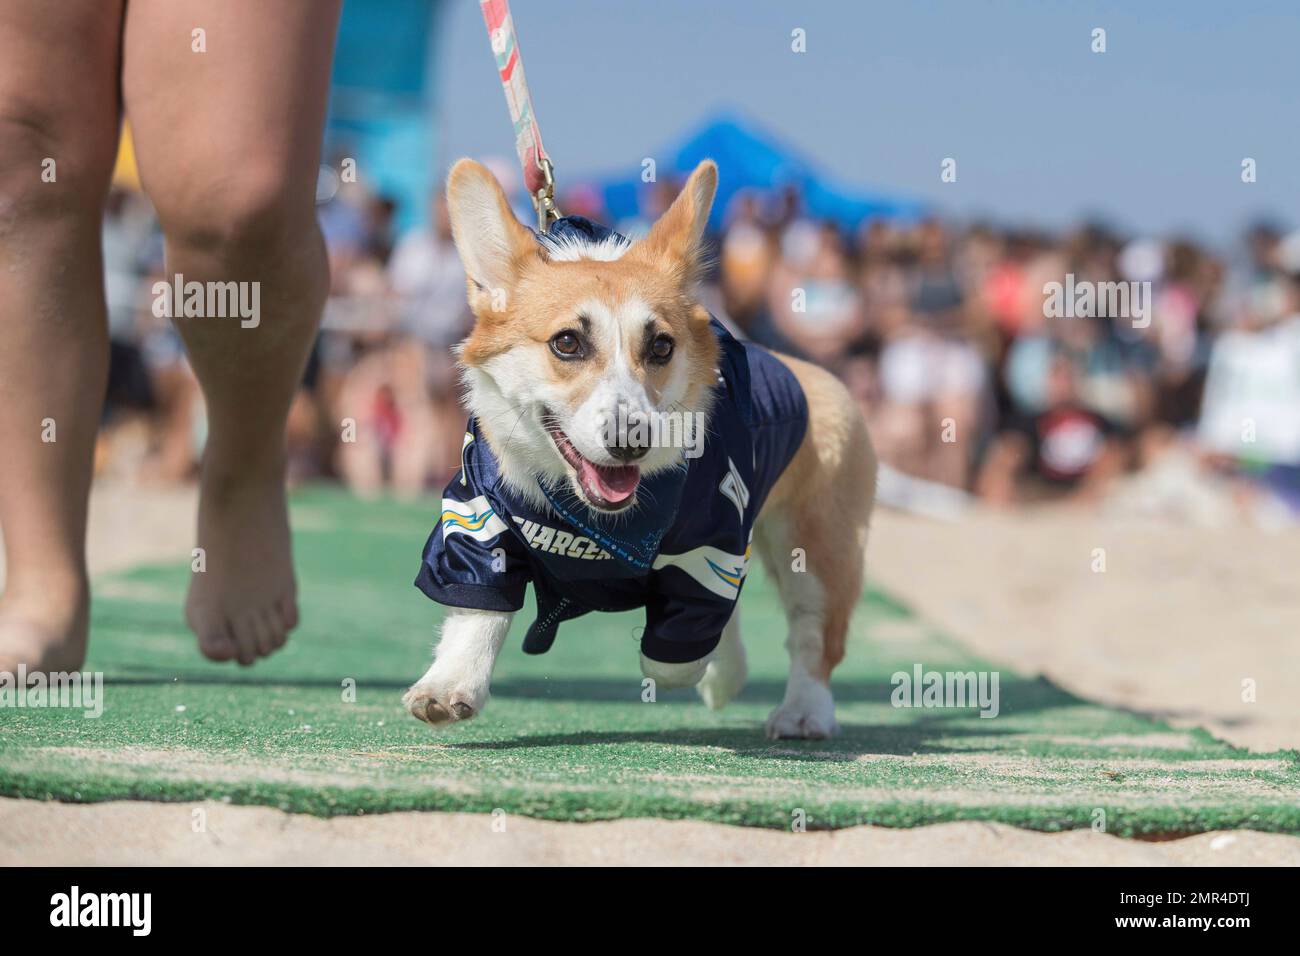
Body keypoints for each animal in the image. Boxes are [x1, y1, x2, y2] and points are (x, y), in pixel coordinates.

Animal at [400, 158, 878, 738]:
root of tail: (807, 371)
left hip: (815, 550)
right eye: (567, 343)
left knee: (813, 636)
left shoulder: (714, 544)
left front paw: (708, 669)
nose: (631, 442)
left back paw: (802, 710)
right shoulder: (478, 516)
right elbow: (479, 609)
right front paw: (450, 685)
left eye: (661, 346)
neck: (591, 523)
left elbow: (674, 652)